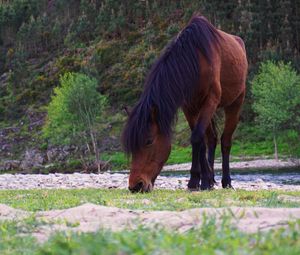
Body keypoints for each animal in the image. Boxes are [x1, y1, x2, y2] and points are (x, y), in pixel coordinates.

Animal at [120, 14, 247, 192]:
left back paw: (226, 181)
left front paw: (200, 181)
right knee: (212, 139)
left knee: (225, 141)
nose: (136, 185)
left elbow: (197, 138)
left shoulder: (210, 100)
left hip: (234, 104)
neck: (195, 60)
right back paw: (211, 179)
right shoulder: (189, 107)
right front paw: (198, 180)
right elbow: (199, 141)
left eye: (149, 141)